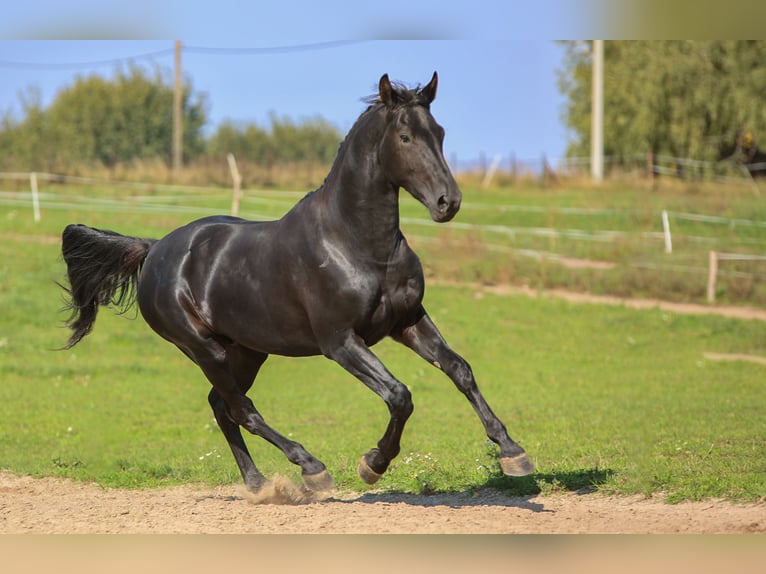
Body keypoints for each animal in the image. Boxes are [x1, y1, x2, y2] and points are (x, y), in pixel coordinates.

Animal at [61, 72, 536, 496]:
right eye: (404, 138)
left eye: (439, 132)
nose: (447, 202)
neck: (357, 244)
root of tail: (155, 247)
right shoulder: (340, 341)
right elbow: (400, 395)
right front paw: (372, 464)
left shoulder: (408, 321)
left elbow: (460, 370)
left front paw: (512, 452)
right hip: (203, 348)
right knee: (241, 409)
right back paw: (311, 470)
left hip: (247, 350)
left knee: (222, 406)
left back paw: (259, 485)